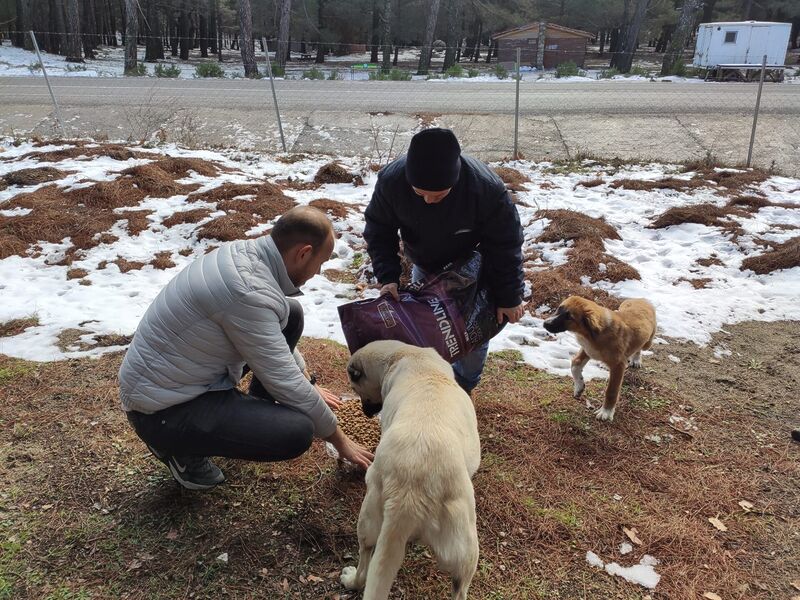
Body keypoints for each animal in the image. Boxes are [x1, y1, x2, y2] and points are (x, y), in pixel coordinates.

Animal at [340, 340, 482, 596]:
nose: (366, 413)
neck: (403, 354)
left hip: (369, 518)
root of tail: (409, 495)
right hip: (466, 552)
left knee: (366, 565)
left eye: (357, 390)